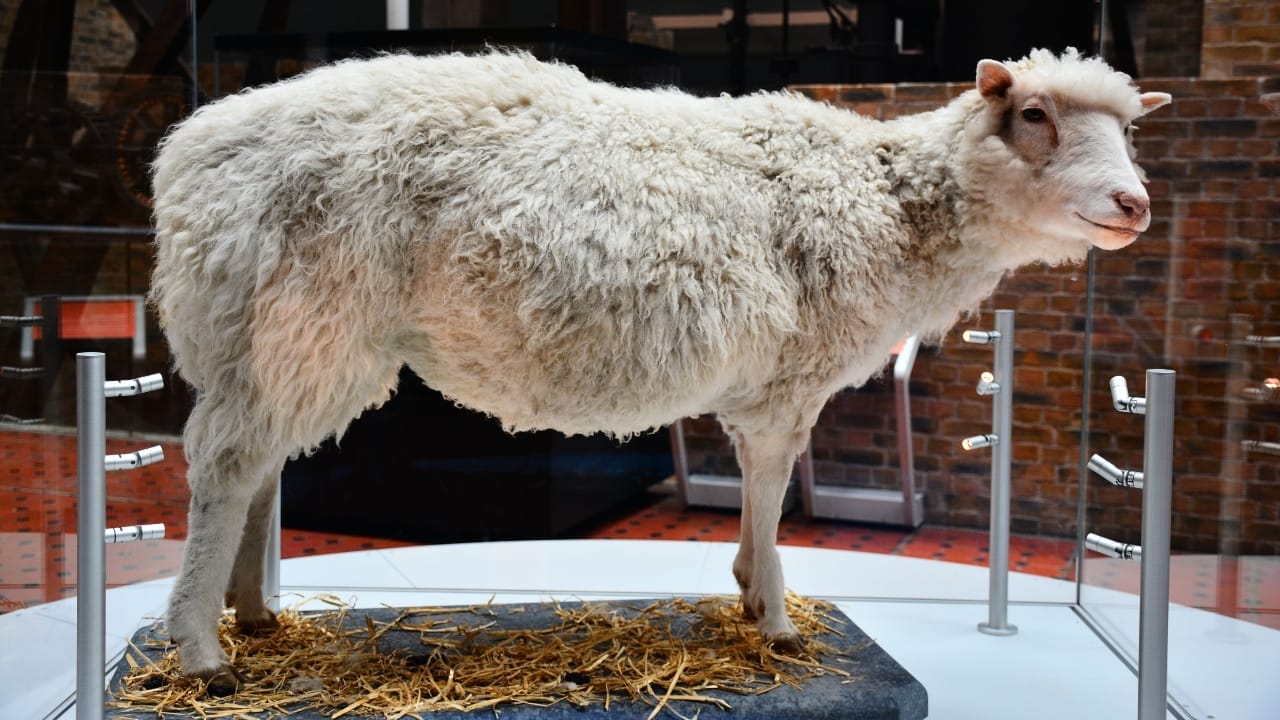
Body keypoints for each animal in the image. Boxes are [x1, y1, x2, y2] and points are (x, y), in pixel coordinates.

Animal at [150, 47, 1170, 691]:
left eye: (1131, 134)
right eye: (1034, 115)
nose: (1136, 205)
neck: (885, 201)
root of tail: (186, 154)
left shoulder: (775, 382)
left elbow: (763, 486)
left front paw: (753, 589)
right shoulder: (787, 379)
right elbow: (770, 484)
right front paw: (775, 615)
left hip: (268, 335)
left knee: (258, 466)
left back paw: (257, 615)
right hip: (304, 314)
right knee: (229, 467)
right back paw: (200, 647)